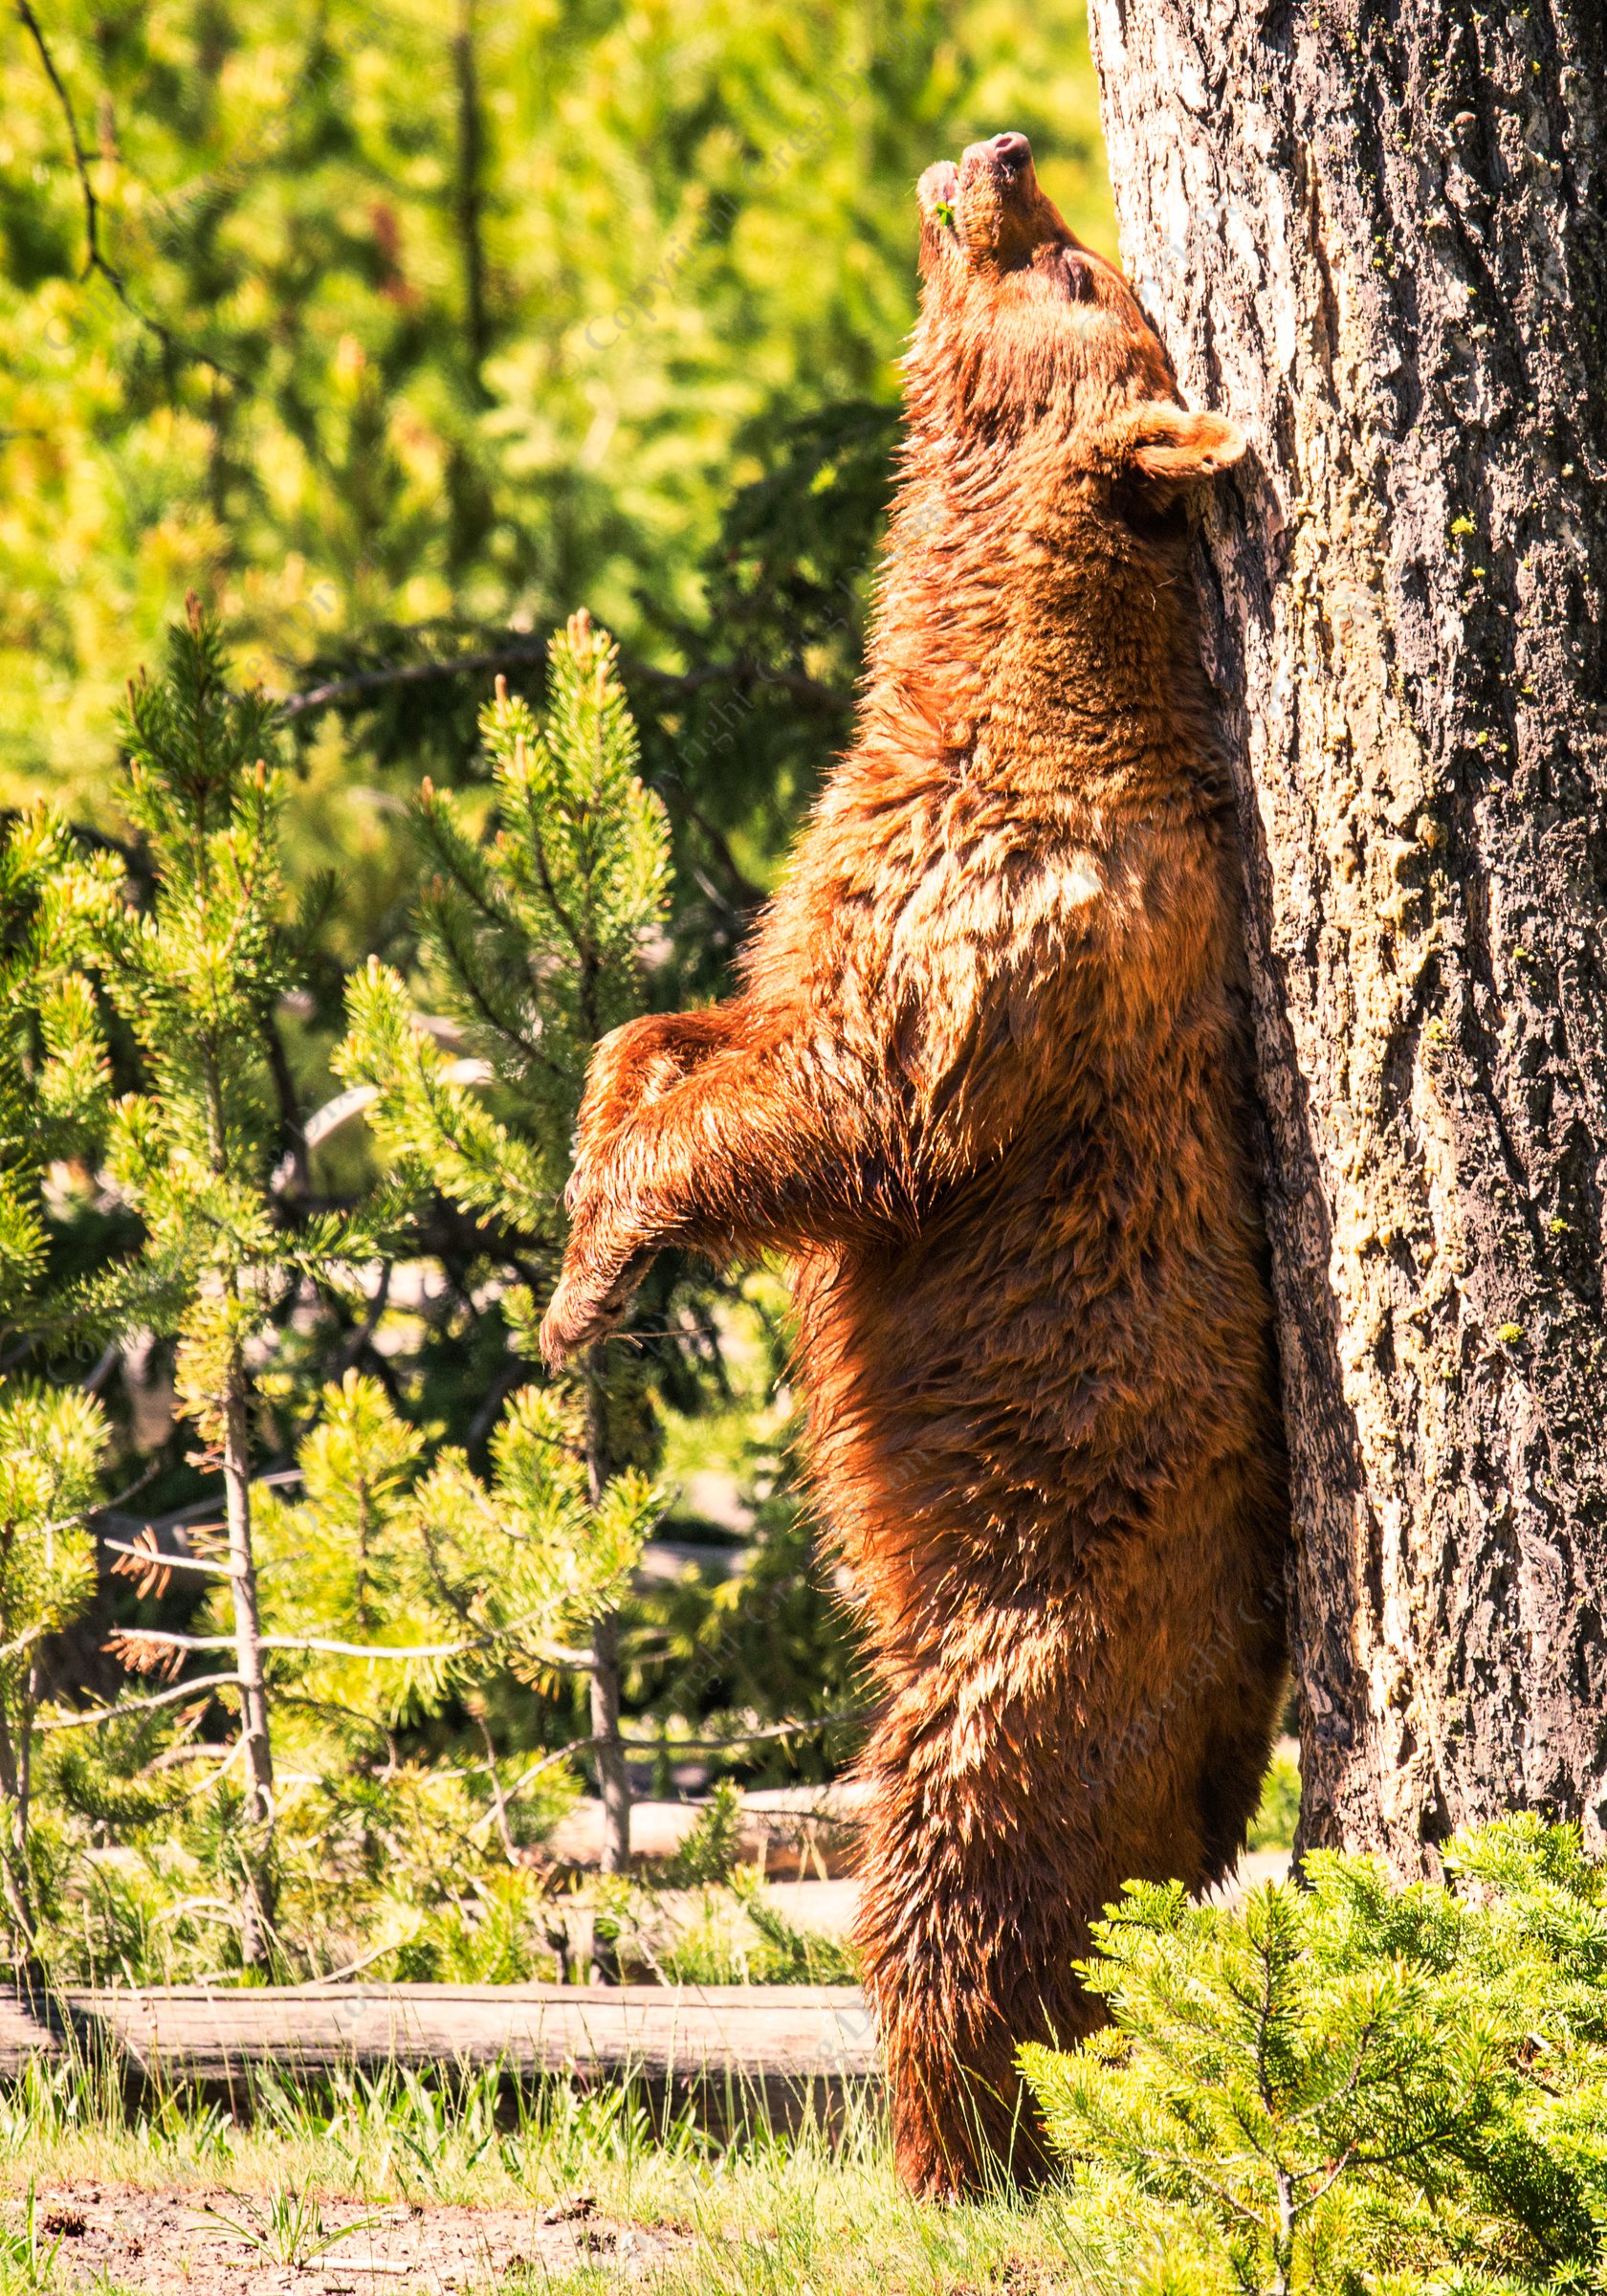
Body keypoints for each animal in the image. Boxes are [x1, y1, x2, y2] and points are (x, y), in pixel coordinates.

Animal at [541, 130, 1290, 2199]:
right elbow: (681, 1033)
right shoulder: (848, 861)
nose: (1001, 155)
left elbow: (846, 1115)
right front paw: (585, 1247)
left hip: (1044, 1632)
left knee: (966, 1877)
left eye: (1082, 276)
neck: (990, 676)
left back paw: (963, 2143)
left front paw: (591, 1291)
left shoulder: (1010, 930)